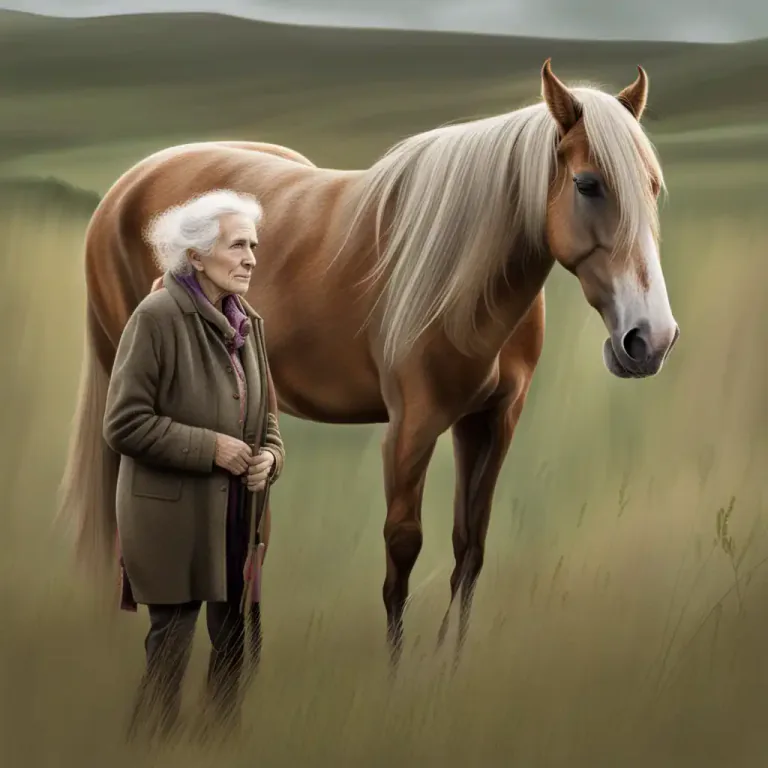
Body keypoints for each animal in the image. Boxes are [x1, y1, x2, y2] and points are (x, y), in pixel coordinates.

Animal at [58, 59, 679, 669]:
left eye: (652, 187)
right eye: (588, 185)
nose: (651, 339)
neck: (462, 273)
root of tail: (129, 183)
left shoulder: (492, 421)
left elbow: (470, 547)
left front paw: (451, 665)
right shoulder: (411, 428)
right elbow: (401, 553)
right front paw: (394, 675)